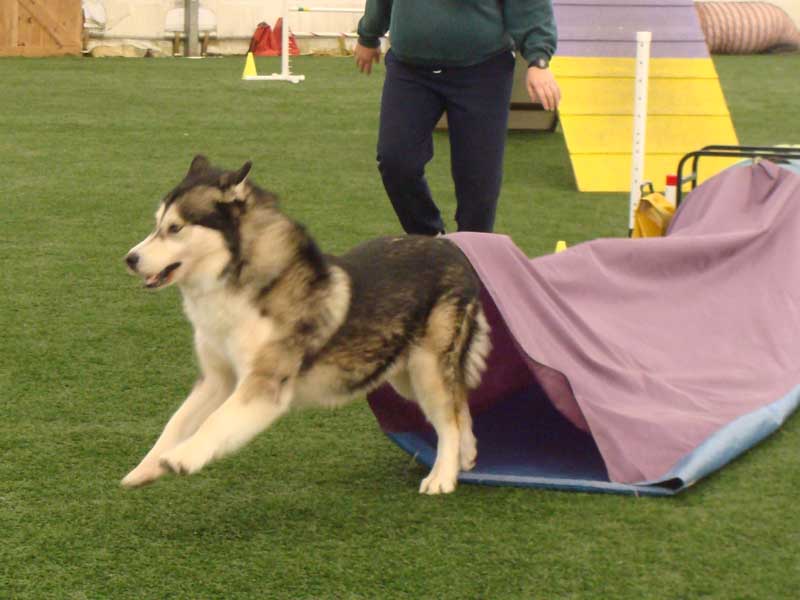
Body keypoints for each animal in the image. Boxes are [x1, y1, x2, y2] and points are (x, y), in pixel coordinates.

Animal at [122, 157, 490, 494]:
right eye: (157, 224)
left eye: (175, 228)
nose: (129, 259)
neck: (236, 285)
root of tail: (452, 249)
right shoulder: (216, 379)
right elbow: (176, 423)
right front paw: (146, 468)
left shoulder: (263, 384)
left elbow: (215, 421)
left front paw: (183, 457)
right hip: (403, 375)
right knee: (459, 403)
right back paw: (467, 453)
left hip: (426, 368)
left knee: (448, 418)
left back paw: (442, 477)